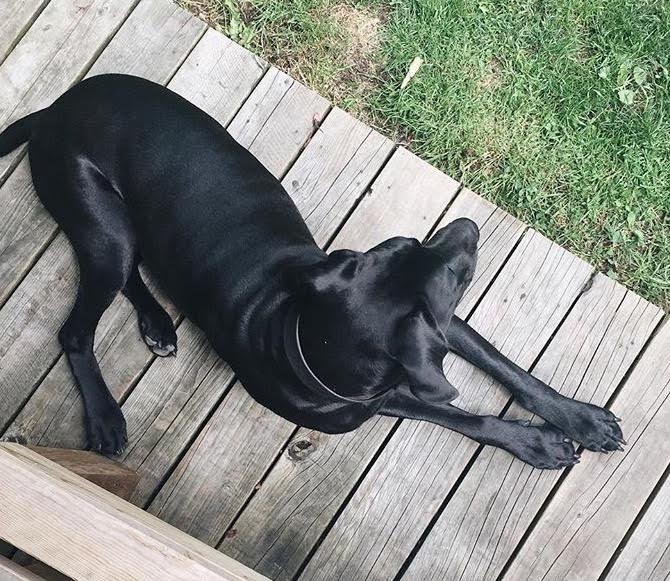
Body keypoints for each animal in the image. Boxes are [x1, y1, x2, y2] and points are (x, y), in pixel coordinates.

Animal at [0, 75, 624, 468]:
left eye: (408, 243)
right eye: (448, 275)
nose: (469, 225)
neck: (302, 330)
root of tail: (52, 111)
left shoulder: (444, 333)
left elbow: (510, 371)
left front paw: (581, 420)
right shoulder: (387, 394)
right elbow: (463, 418)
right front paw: (538, 444)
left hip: (120, 234)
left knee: (131, 272)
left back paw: (157, 323)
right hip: (103, 226)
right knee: (76, 329)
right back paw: (106, 416)